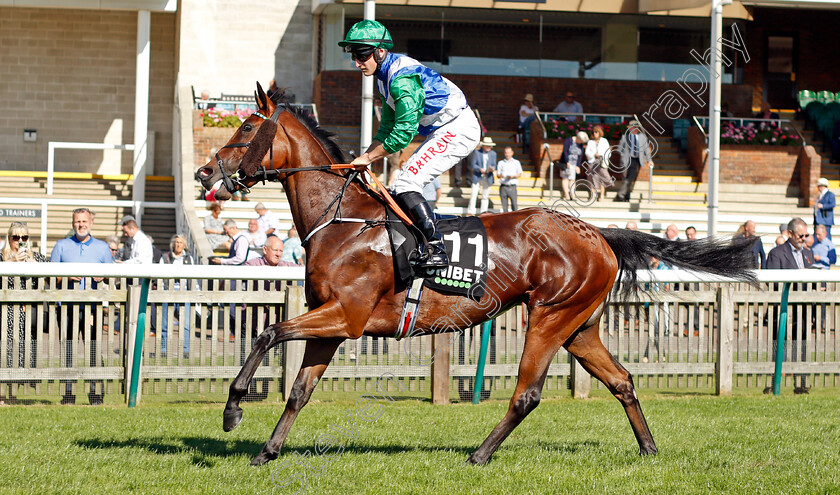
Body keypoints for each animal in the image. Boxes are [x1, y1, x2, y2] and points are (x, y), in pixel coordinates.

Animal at [195, 83, 756, 466]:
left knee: (527, 394)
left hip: (550, 317)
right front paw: (267, 451)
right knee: (621, 380)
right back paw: (648, 448)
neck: (344, 220)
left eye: (246, 128)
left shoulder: (345, 317)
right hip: (580, 326)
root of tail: (599, 233)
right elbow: (299, 390)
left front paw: (232, 410)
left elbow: (268, 331)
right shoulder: (329, 323)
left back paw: (480, 454)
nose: (204, 173)